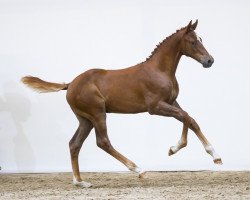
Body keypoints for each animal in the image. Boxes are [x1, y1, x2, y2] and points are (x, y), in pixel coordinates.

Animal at [20, 20, 222, 188]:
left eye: (201, 39)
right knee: (103, 142)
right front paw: (183, 149)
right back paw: (138, 170)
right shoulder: (155, 107)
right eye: (193, 42)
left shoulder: (172, 102)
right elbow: (186, 117)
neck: (159, 70)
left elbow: (189, 119)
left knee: (74, 144)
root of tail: (69, 84)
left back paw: (80, 182)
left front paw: (207, 154)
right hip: (97, 114)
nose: (209, 60)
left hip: (85, 119)